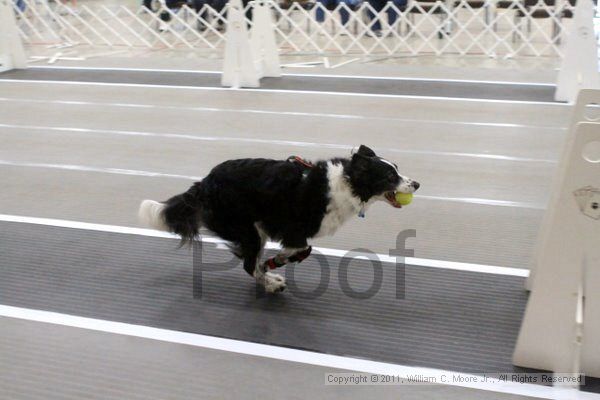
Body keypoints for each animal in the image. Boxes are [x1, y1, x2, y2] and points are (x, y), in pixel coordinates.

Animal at [138, 145, 418, 292]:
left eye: (397, 169)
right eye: (390, 176)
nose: (416, 183)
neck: (346, 183)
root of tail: (204, 184)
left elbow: (302, 250)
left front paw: (276, 263)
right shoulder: (293, 228)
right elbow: (303, 248)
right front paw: (278, 262)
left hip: (253, 230)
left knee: (250, 264)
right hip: (247, 229)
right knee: (248, 265)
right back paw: (272, 284)